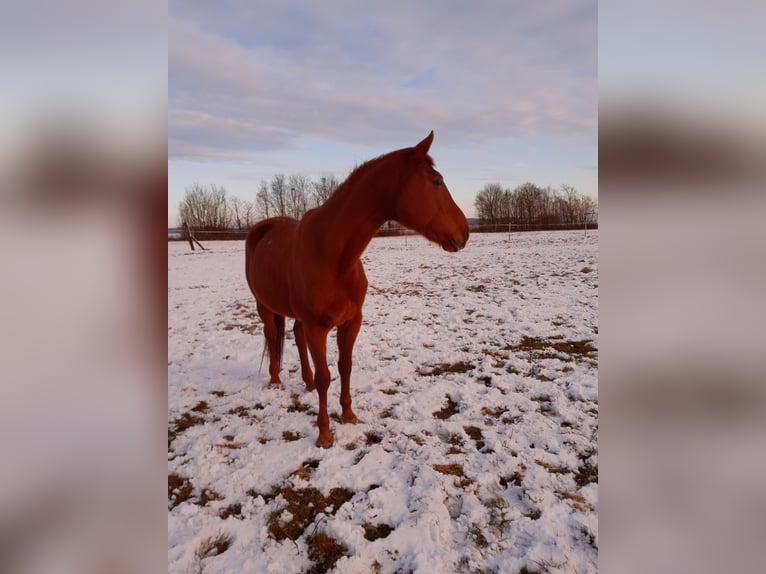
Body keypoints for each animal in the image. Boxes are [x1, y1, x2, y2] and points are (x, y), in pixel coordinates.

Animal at [245, 131, 469, 447]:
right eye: (436, 181)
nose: (466, 232)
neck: (333, 256)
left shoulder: (351, 322)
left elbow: (345, 366)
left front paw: (349, 415)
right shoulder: (318, 327)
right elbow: (327, 376)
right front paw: (324, 434)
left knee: (296, 336)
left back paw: (306, 382)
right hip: (264, 306)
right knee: (271, 334)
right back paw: (276, 381)